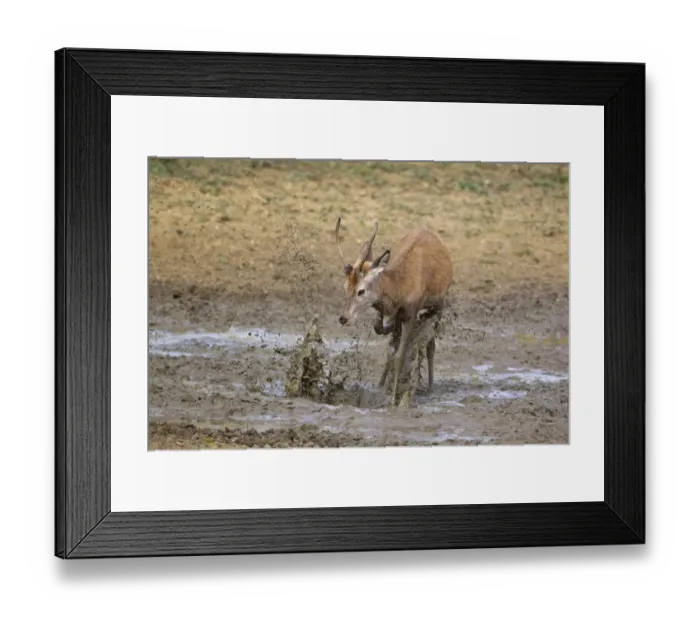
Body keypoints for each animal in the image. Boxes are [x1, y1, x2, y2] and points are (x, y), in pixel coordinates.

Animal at [335, 217, 453, 406]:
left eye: (361, 291)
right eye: (346, 287)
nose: (343, 318)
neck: (400, 288)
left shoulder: (412, 313)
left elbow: (400, 356)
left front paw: (394, 400)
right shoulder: (397, 315)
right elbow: (390, 350)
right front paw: (382, 389)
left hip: (440, 303)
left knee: (430, 344)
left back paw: (429, 386)